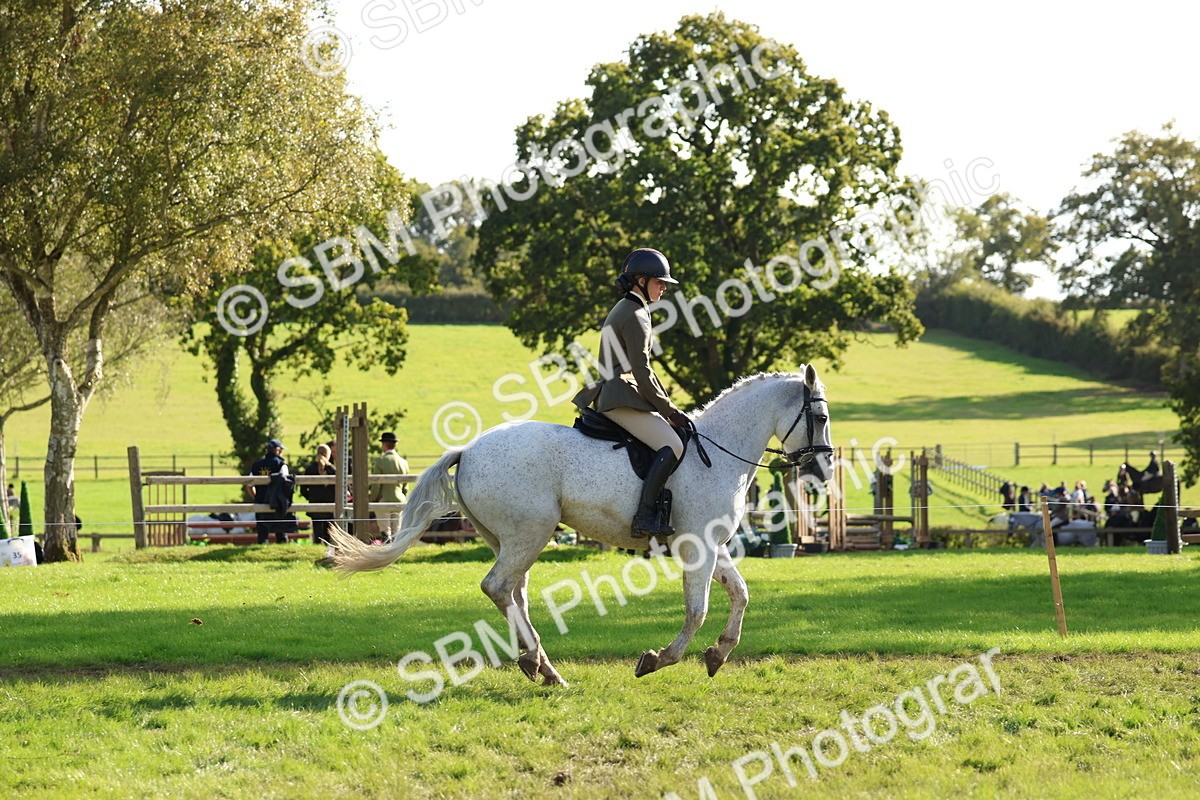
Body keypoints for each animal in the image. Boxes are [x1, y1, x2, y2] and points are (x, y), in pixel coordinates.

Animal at [331, 367, 834, 686]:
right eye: (822, 417)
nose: (823, 473)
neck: (720, 449)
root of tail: (468, 450)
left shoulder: (715, 545)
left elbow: (740, 595)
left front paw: (718, 654)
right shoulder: (698, 546)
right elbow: (698, 609)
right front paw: (658, 660)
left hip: (510, 537)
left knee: (514, 592)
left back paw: (541, 667)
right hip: (531, 531)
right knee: (498, 587)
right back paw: (538, 663)